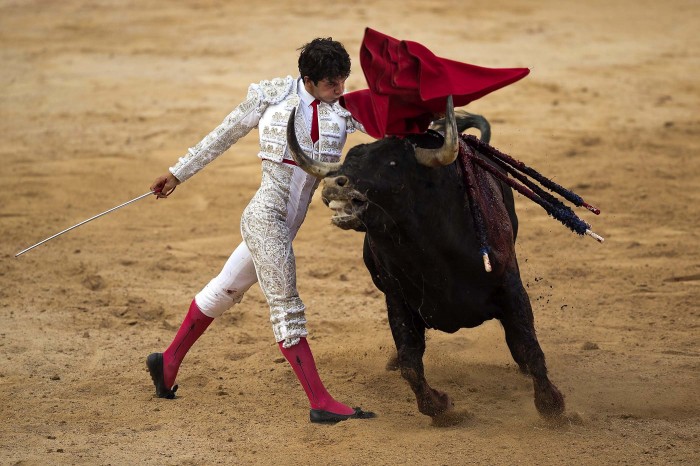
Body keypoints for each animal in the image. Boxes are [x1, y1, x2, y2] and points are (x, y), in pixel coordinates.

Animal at [288, 98, 568, 422]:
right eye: (347, 162)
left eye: (392, 164)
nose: (334, 184)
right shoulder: (397, 299)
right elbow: (411, 362)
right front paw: (440, 406)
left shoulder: (510, 285)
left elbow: (527, 346)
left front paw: (552, 406)